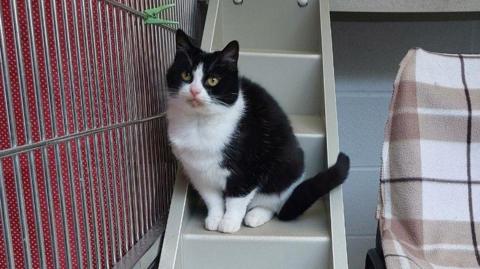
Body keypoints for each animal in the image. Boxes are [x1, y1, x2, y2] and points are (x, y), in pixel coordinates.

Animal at [165, 29, 348, 232]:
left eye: (212, 80)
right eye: (185, 75)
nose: (195, 91)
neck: (199, 124)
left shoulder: (250, 167)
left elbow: (236, 199)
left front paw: (229, 223)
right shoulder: (198, 173)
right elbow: (212, 199)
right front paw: (214, 218)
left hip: (286, 165)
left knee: (273, 203)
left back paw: (255, 215)